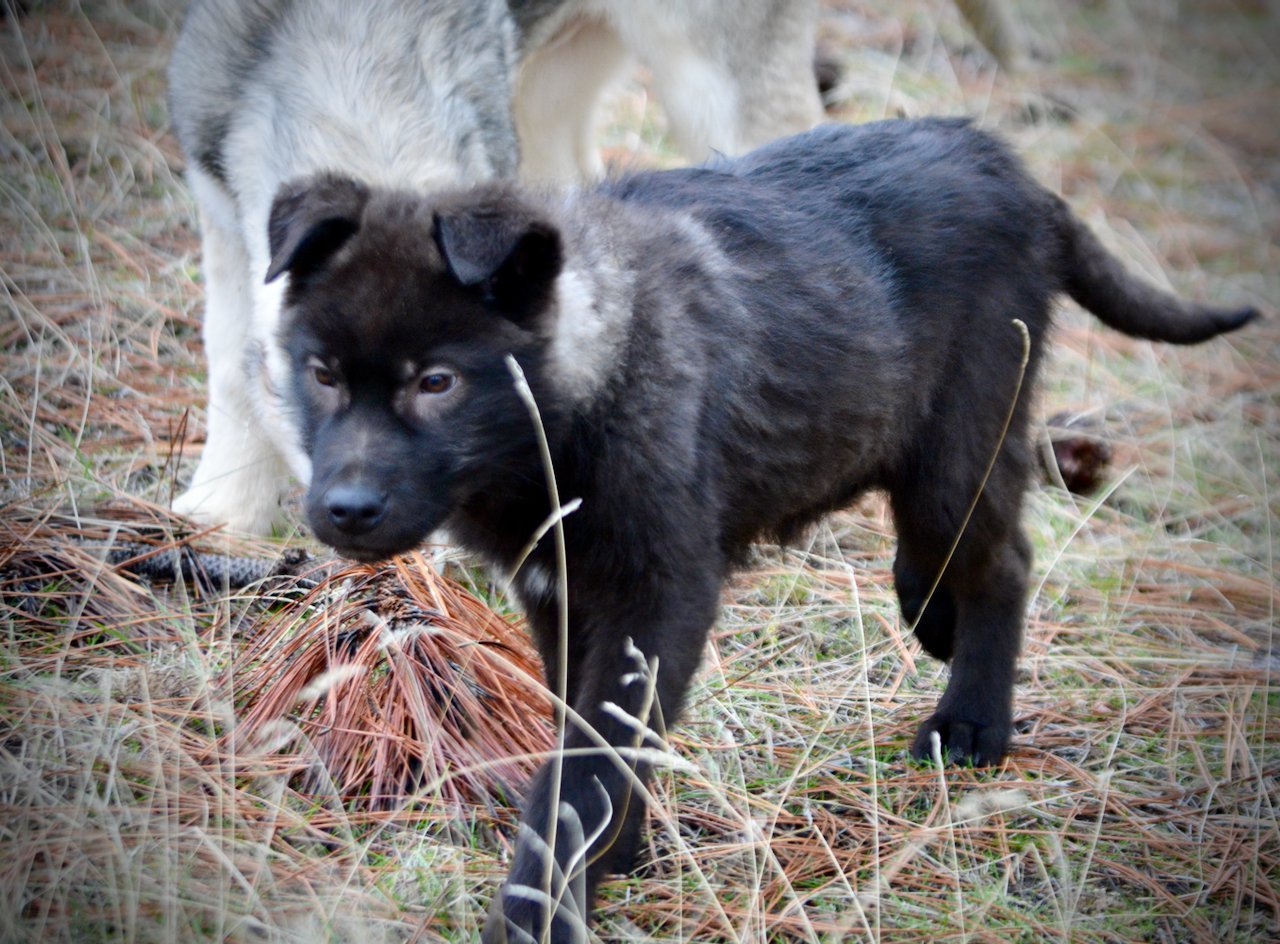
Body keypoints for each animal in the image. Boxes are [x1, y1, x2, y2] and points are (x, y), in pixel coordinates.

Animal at [167, 0, 819, 532]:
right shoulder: (217, 205)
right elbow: (230, 366)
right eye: (328, 379)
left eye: (443, 385)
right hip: (551, 93)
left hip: (710, 85)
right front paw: (223, 512)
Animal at [264, 119, 1254, 941]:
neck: (583, 393)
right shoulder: (562, 592)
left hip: (960, 444)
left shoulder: (657, 595)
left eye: (437, 383)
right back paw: (929, 617)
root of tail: (1004, 164)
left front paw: (543, 907)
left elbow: (585, 771)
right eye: (321, 374)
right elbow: (592, 740)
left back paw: (970, 721)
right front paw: (619, 854)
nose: (344, 509)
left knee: (1001, 559)